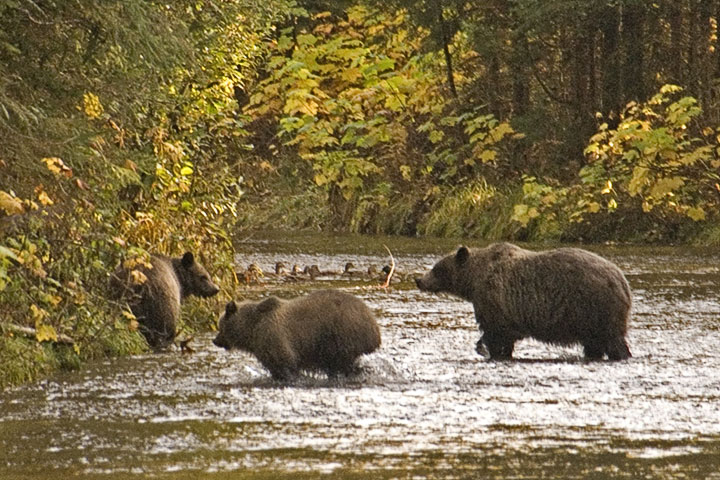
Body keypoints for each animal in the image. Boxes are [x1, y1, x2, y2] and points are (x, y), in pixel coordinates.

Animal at [212, 288, 382, 378]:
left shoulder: (274, 338)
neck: (252, 330)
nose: (215, 340)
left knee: (343, 364)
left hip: (340, 335)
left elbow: (286, 365)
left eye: (220, 326)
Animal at [416, 244, 632, 360]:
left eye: (436, 268)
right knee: (594, 344)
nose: (419, 280)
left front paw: (487, 349)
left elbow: (495, 335)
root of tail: (622, 281)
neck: (473, 280)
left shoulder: (493, 301)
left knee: (613, 341)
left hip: (594, 308)